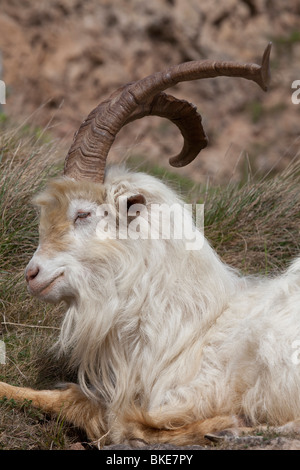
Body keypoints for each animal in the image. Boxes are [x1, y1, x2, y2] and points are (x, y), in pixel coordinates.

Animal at [1, 43, 300, 444]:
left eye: (83, 214)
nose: (32, 275)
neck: (191, 326)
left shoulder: (190, 392)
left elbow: (112, 416)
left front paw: (221, 423)